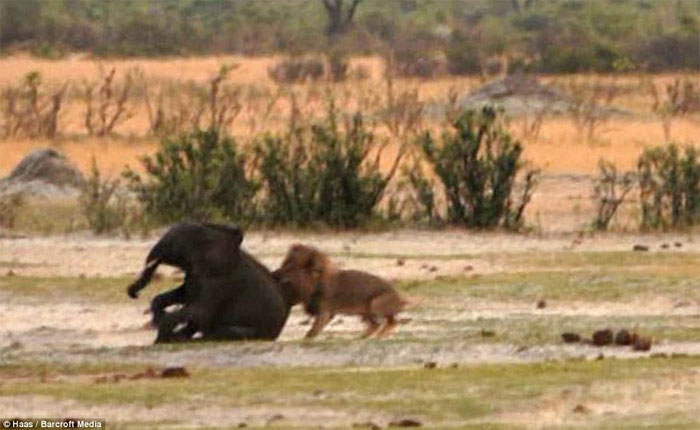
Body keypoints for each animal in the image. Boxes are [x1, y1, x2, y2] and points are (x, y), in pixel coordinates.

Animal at [272, 244, 407, 339]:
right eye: (283, 264)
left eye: (288, 267)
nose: (274, 274)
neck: (314, 283)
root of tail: (401, 298)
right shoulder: (327, 312)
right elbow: (313, 330)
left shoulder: (325, 311)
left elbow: (313, 330)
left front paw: (306, 338)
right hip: (365, 312)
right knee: (377, 325)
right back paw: (360, 338)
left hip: (376, 304)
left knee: (390, 322)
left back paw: (377, 337)